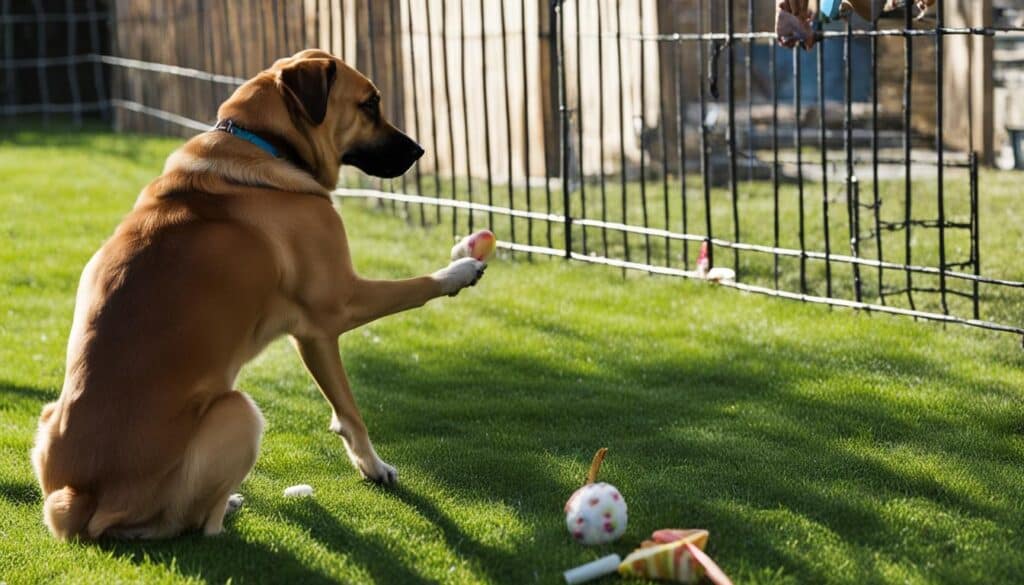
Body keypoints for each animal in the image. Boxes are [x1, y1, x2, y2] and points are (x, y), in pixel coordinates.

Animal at [28, 49, 483, 540]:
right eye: (369, 104)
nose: (419, 151)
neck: (262, 143)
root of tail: (83, 500)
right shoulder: (332, 312)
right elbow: (362, 389)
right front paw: (459, 270)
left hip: (47, 416)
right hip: (239, 411)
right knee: (201, 525)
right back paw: (227, 508)